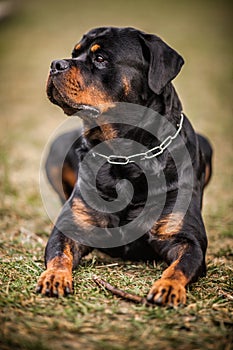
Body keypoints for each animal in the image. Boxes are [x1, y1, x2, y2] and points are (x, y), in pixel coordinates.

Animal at [35, 27, 212, 306]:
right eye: (75, 53)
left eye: (100, 59)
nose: (56, 64)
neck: (124, 155)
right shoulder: (71, 227)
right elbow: (59, 254)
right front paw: (55, 277)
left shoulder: (188, 239)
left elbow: (180, 266)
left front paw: (168, 287)